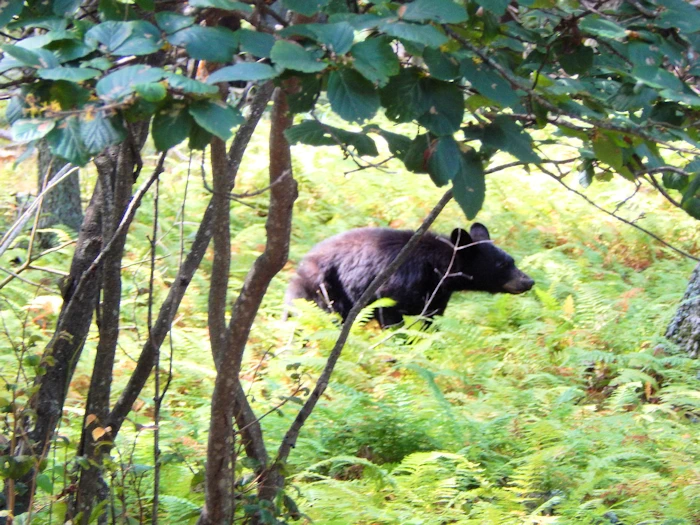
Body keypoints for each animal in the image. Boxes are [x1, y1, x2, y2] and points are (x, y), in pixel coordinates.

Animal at [284, 222, 536, 328]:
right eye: (502, 264)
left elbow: (429, 320)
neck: (435, 268)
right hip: (321, 291)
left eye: (512, 260)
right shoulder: (395, 286)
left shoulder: (436, 296)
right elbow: (391, 316)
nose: (529, 281)